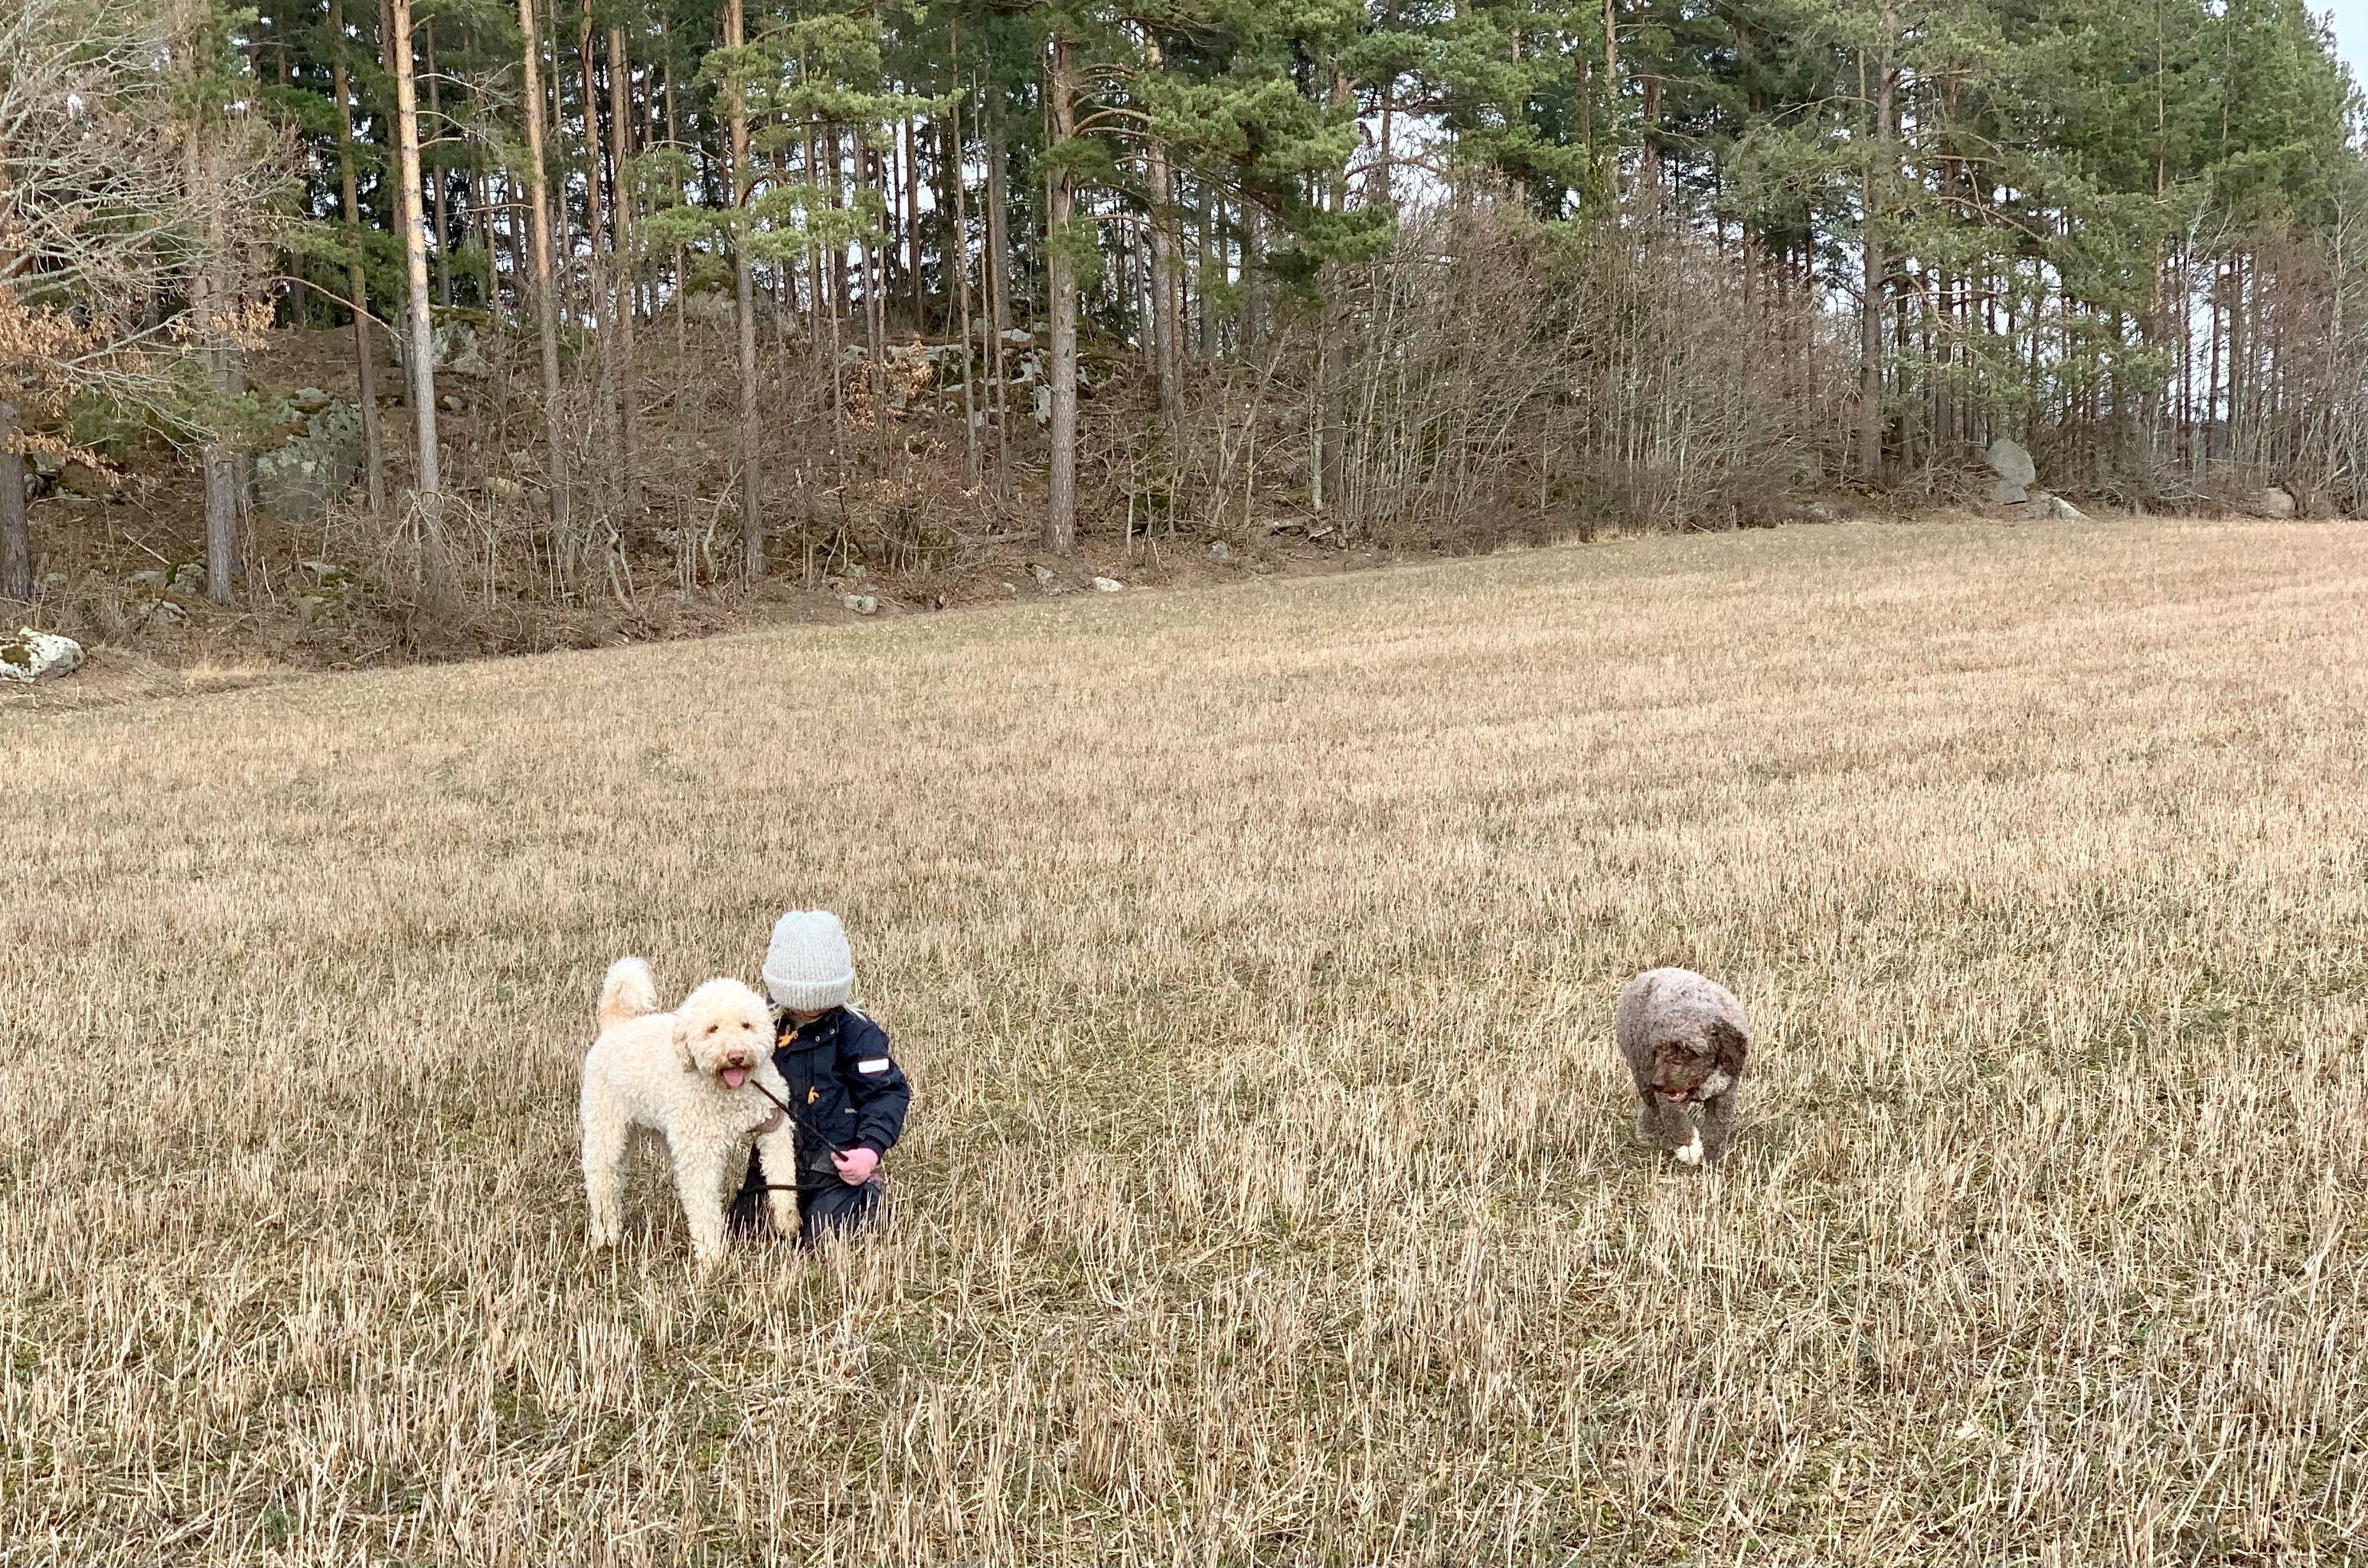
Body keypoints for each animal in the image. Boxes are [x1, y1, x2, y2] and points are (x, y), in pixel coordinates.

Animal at [579, 957, 799, 1264]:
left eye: (746, 1025)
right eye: (713, 1029)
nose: (736, 1056)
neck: (730, 1094)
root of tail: (615, 1026)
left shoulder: (773, 1124)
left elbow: (782, 1173)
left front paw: (788, 1221)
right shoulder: (699, 1154)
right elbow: (704, 1204)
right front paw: (711, 1256)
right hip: (606, 1129)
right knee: (603, 1181)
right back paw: (605, 1235)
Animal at [1616, 967, 1750, 1166]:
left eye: (1686, 1050)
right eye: (1658, 1049)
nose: (1657, 1083)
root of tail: (1645, 975)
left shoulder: (1726, 1094)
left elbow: (1717, 1129)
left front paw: (1712, 1160)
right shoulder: (1667, 1097)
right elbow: (1675, 1119)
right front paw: (1688, 1148)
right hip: (1640, 1068)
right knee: (1651, 1106)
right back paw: (1649, 1135)